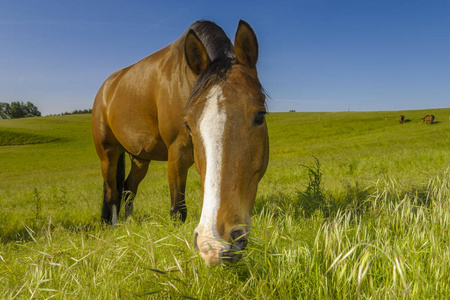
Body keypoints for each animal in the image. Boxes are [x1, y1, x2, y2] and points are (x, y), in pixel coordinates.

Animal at [91, 20, 268, 264]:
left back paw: (129, 224)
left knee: (128, 188)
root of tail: (105, 88)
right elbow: (178, 210)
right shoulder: (177, 153)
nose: (216, 244)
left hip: (140, 159)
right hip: (108, 155)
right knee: (112, 194)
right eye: (188, 124)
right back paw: (116, 229)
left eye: (261, 115)